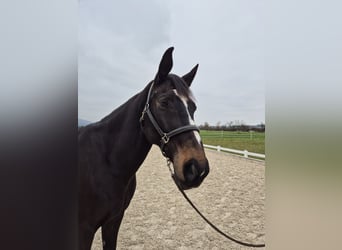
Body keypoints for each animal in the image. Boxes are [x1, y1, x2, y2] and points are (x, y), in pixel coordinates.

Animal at [78, 47, 210, 250]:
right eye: (164, 102)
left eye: (193, 107)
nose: (197, 168)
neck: (107, 164)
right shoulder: (84, 229)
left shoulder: (113, 221)